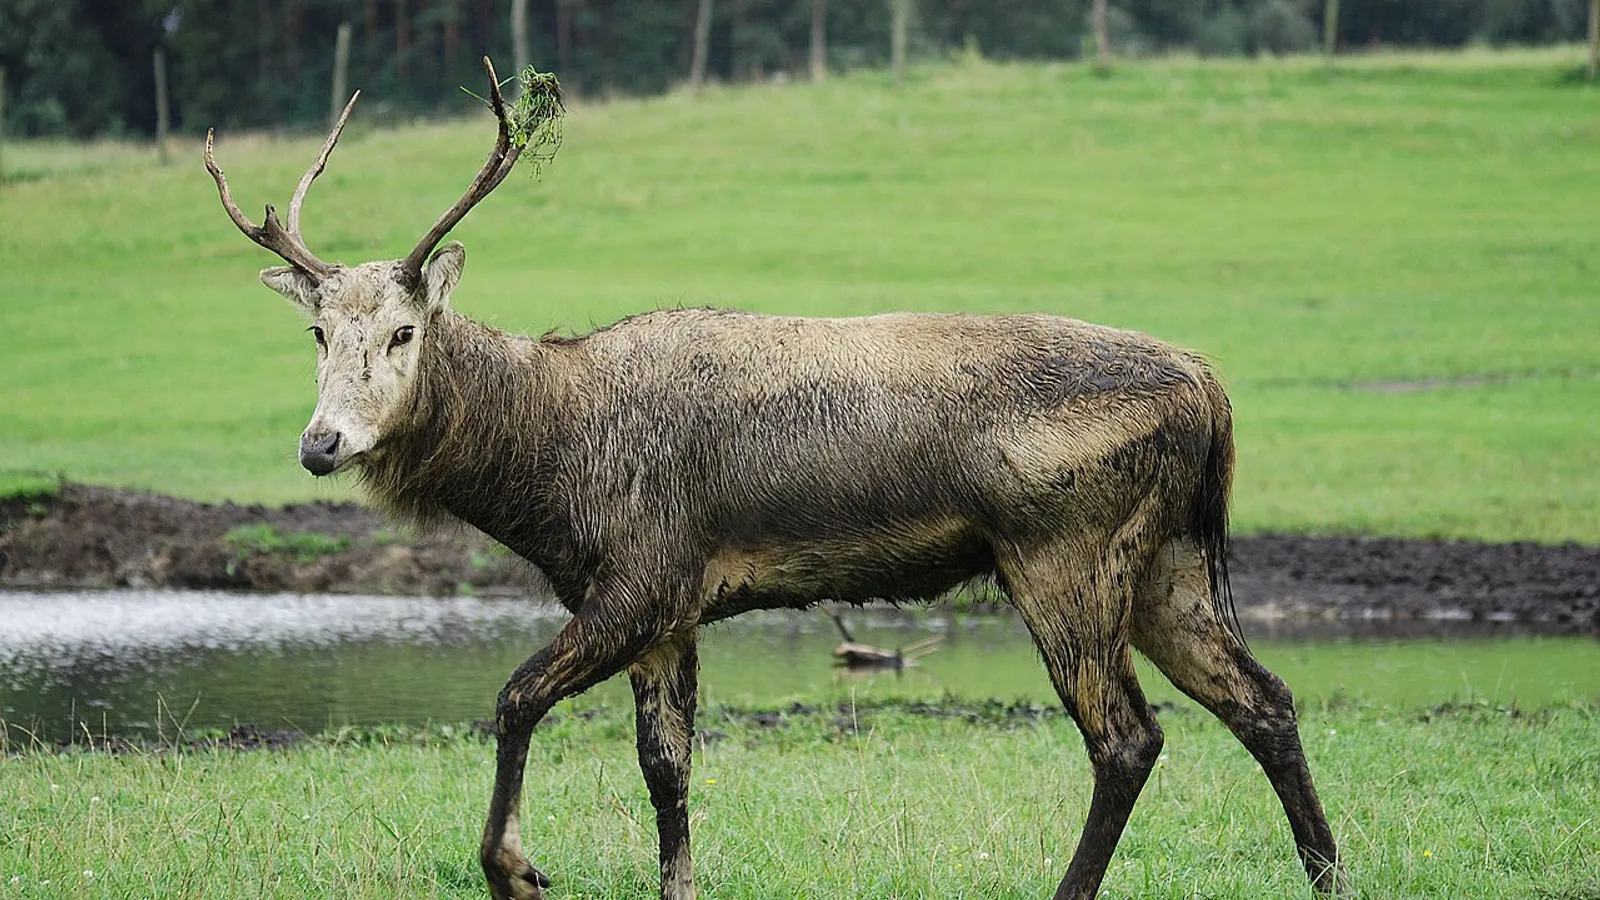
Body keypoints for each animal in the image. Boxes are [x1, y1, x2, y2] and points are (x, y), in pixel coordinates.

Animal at [204, 58, 1344, 900]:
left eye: (402, 331)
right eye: (316, 332)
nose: (321, 444)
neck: (548, 478)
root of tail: (1210, 390)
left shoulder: (642, 576)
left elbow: (515, 697)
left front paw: (517, 868)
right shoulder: (672, 612)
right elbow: (667, 771)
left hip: (1065, 551)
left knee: (1127, 738)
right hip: (1167, 560)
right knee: (1264, 700)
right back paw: (1327, 872)